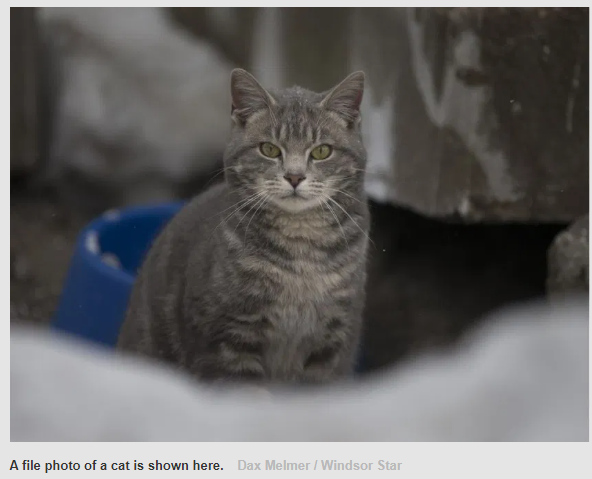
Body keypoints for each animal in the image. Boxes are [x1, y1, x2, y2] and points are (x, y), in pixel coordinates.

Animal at [115, 67, 370, 384]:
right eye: (269, 149)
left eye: (322, 151)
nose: (294, 177)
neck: (301, 251)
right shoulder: (228, 337)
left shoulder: (333, 341)